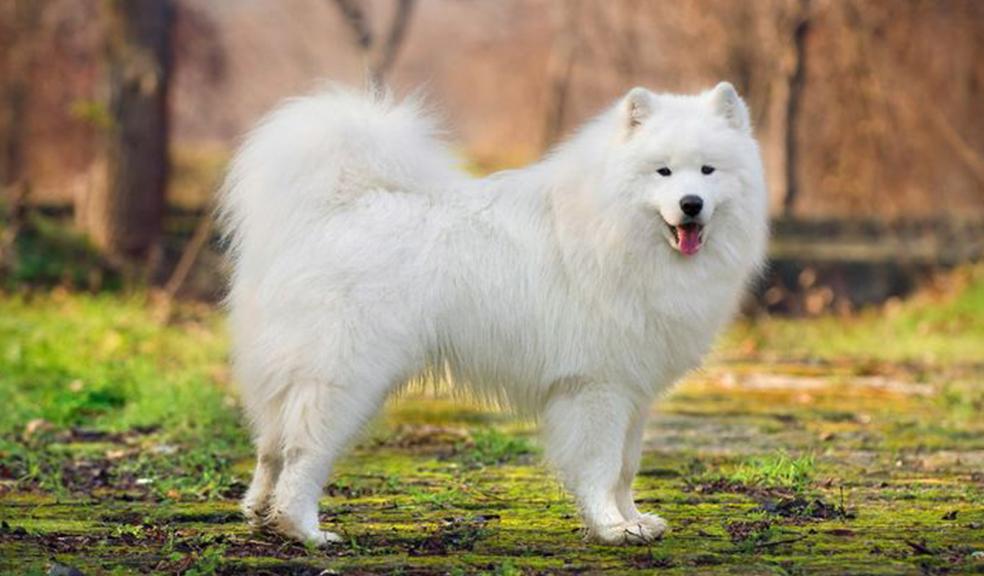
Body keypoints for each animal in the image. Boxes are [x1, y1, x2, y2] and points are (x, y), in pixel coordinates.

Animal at [221, 81, 768, 544]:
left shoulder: (634, 391)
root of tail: (335, 207)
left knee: (271, 444)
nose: (691, 204)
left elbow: (626, 468)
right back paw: (304, 530)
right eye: (663, 171)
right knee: (303, 452)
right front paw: (612, 528)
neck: (615, 227)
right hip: (345, 375)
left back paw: (260, 514)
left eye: (708, 170)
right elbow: (601, 466)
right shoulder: (597, 386)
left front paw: (634, 520)